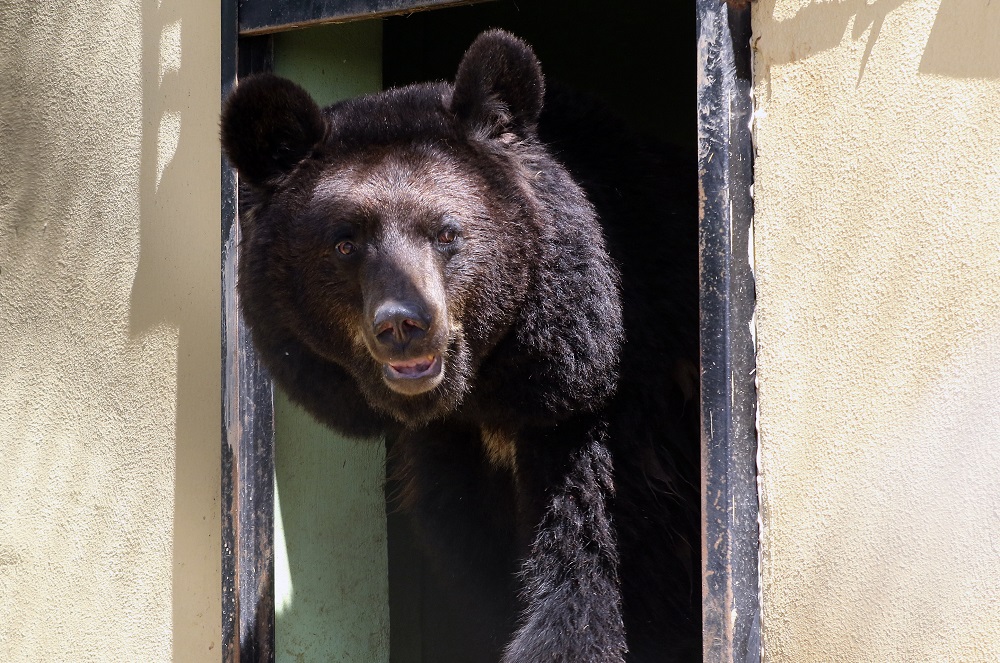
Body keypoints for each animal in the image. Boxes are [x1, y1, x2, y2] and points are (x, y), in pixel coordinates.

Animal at [221, 29, 700, 663]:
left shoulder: (609, 411)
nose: (403, 324)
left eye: (447, 232)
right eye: (345, 243)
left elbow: (591, 564)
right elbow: (480, 567)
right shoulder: (452, 454)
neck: (493, 389)